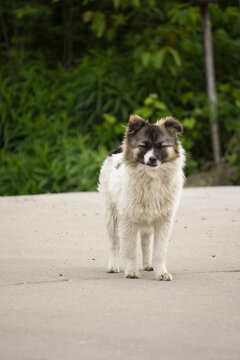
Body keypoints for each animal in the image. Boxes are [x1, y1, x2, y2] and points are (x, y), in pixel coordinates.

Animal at [98, 114, 186, 280]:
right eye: (143, 146)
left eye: (161, 146)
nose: (152, 159)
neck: (152, 177)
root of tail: (118, 149)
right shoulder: (128, 220)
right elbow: (130, 250)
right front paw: (132, 271)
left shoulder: (163, 221)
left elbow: (159, 251)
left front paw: (161, 272)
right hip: (111, 216)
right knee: (114, 243)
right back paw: (112, 265)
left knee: (145, 242)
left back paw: (148, 264)